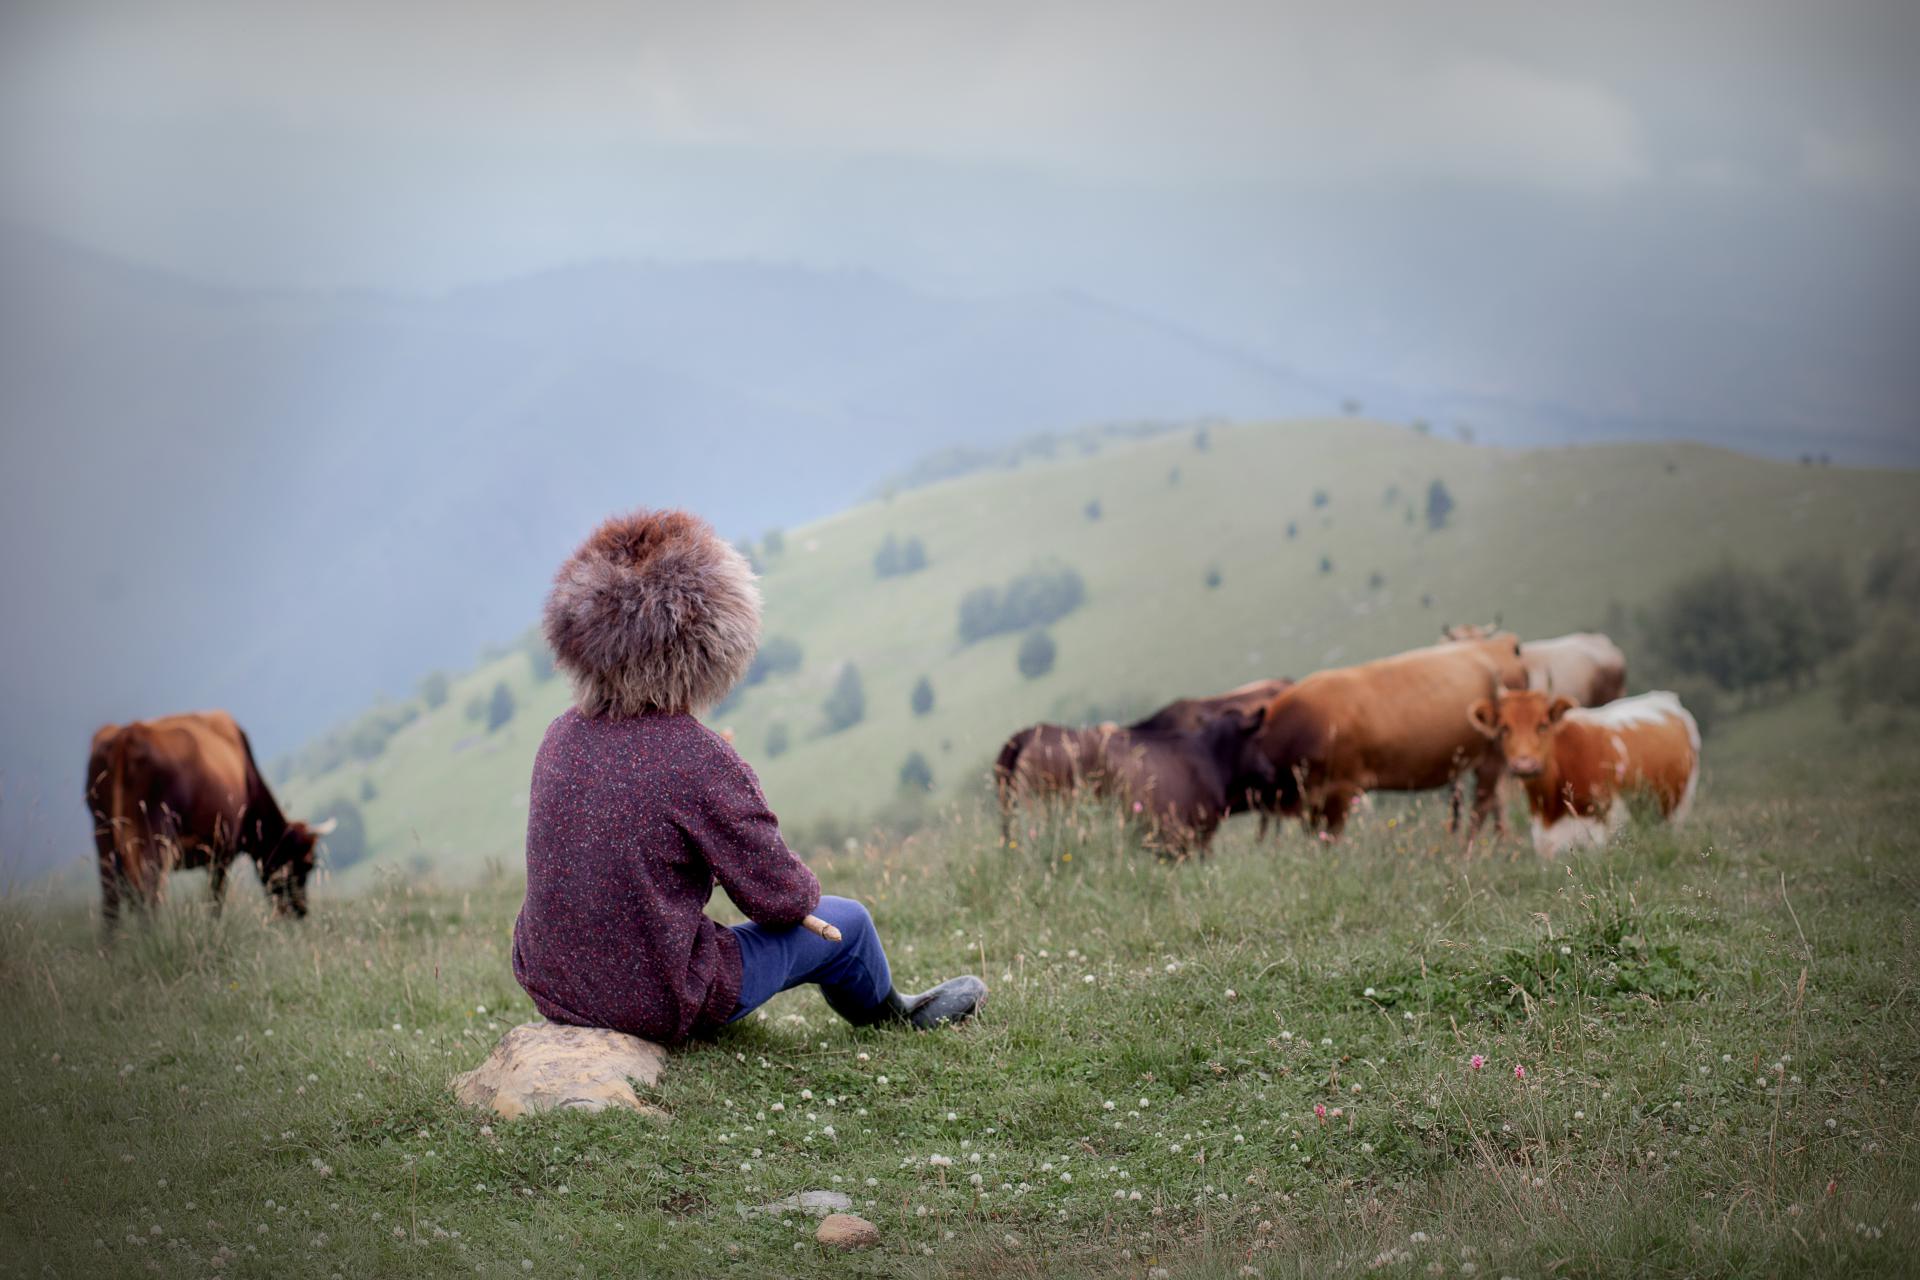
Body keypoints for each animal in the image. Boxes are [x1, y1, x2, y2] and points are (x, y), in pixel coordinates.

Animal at [86, 710, 336, 932]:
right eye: (307, 864)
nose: (300, 911)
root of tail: (127, 736)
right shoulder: (222, 851)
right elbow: (215, 901)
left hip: (104, 833)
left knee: (111, 897)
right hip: (154, 832)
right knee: (148, 888)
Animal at [1466, 690, 1697, 859]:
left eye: (1543, 725)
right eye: (1504, 728)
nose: (1524, 763)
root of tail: (1664, 697)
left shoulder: (1598, 830)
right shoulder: (1543, 839)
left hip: (1679, 808)